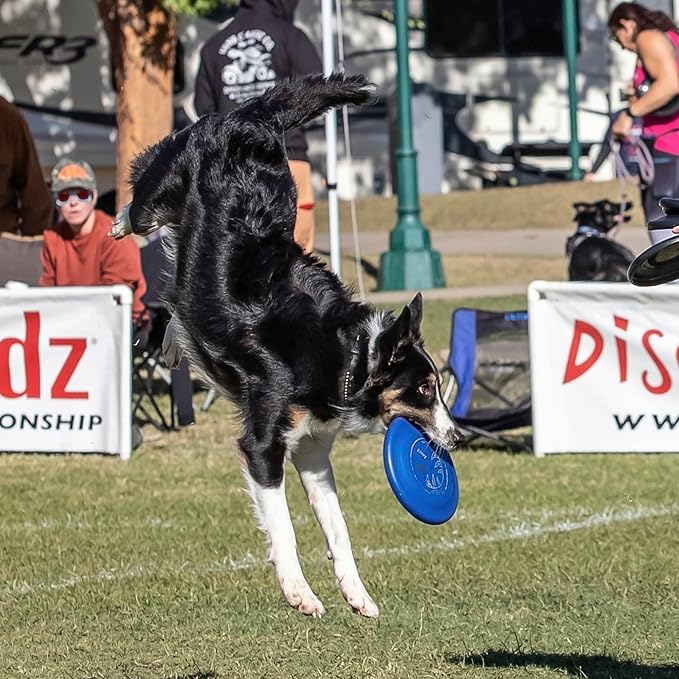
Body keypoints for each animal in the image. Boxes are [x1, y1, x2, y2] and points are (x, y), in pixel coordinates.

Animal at [111, 75, 464, 620]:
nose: (459, 437)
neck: (344, 356)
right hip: (163, 191)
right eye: (424, 390)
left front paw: (357, 594)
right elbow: (285, 528)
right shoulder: (263, 446)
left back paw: (175, 342)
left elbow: (339, 528)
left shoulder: (315, 452)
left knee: (179, 305)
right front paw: (300, 592)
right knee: (140, 205)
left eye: (439, 387)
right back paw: (115, 223)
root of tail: (251, 117)